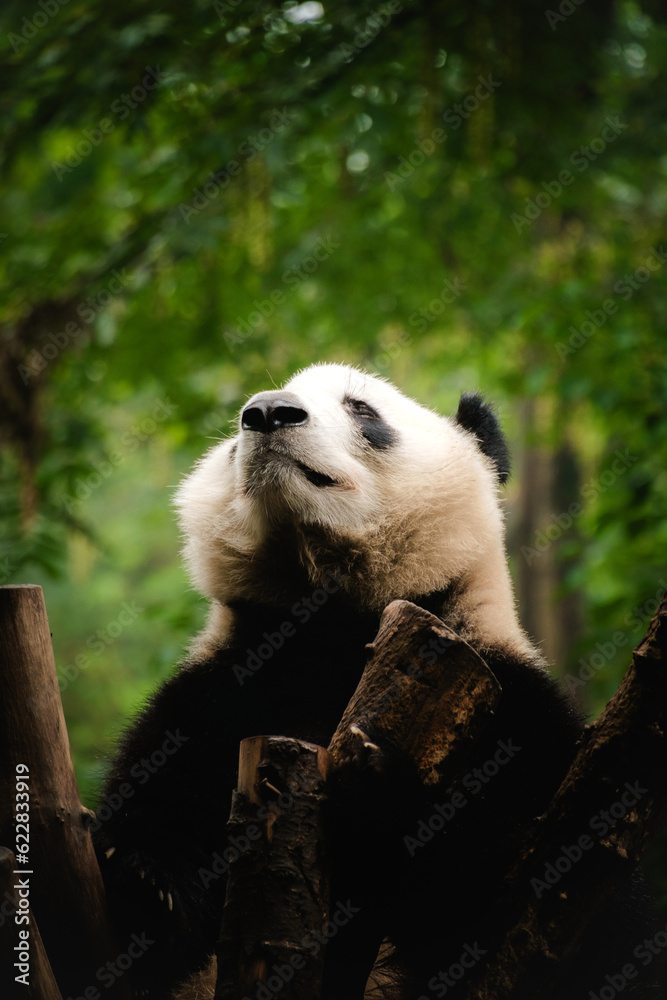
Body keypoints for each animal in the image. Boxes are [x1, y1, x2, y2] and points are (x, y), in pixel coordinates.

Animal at [93, 363, 660, 999]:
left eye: (362, 409)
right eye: (237, 430)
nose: (267, 412)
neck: (335, 617)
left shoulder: (517, 707)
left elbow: (580, 917)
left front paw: (385, 794)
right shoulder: (226, 691)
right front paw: (150, 882)